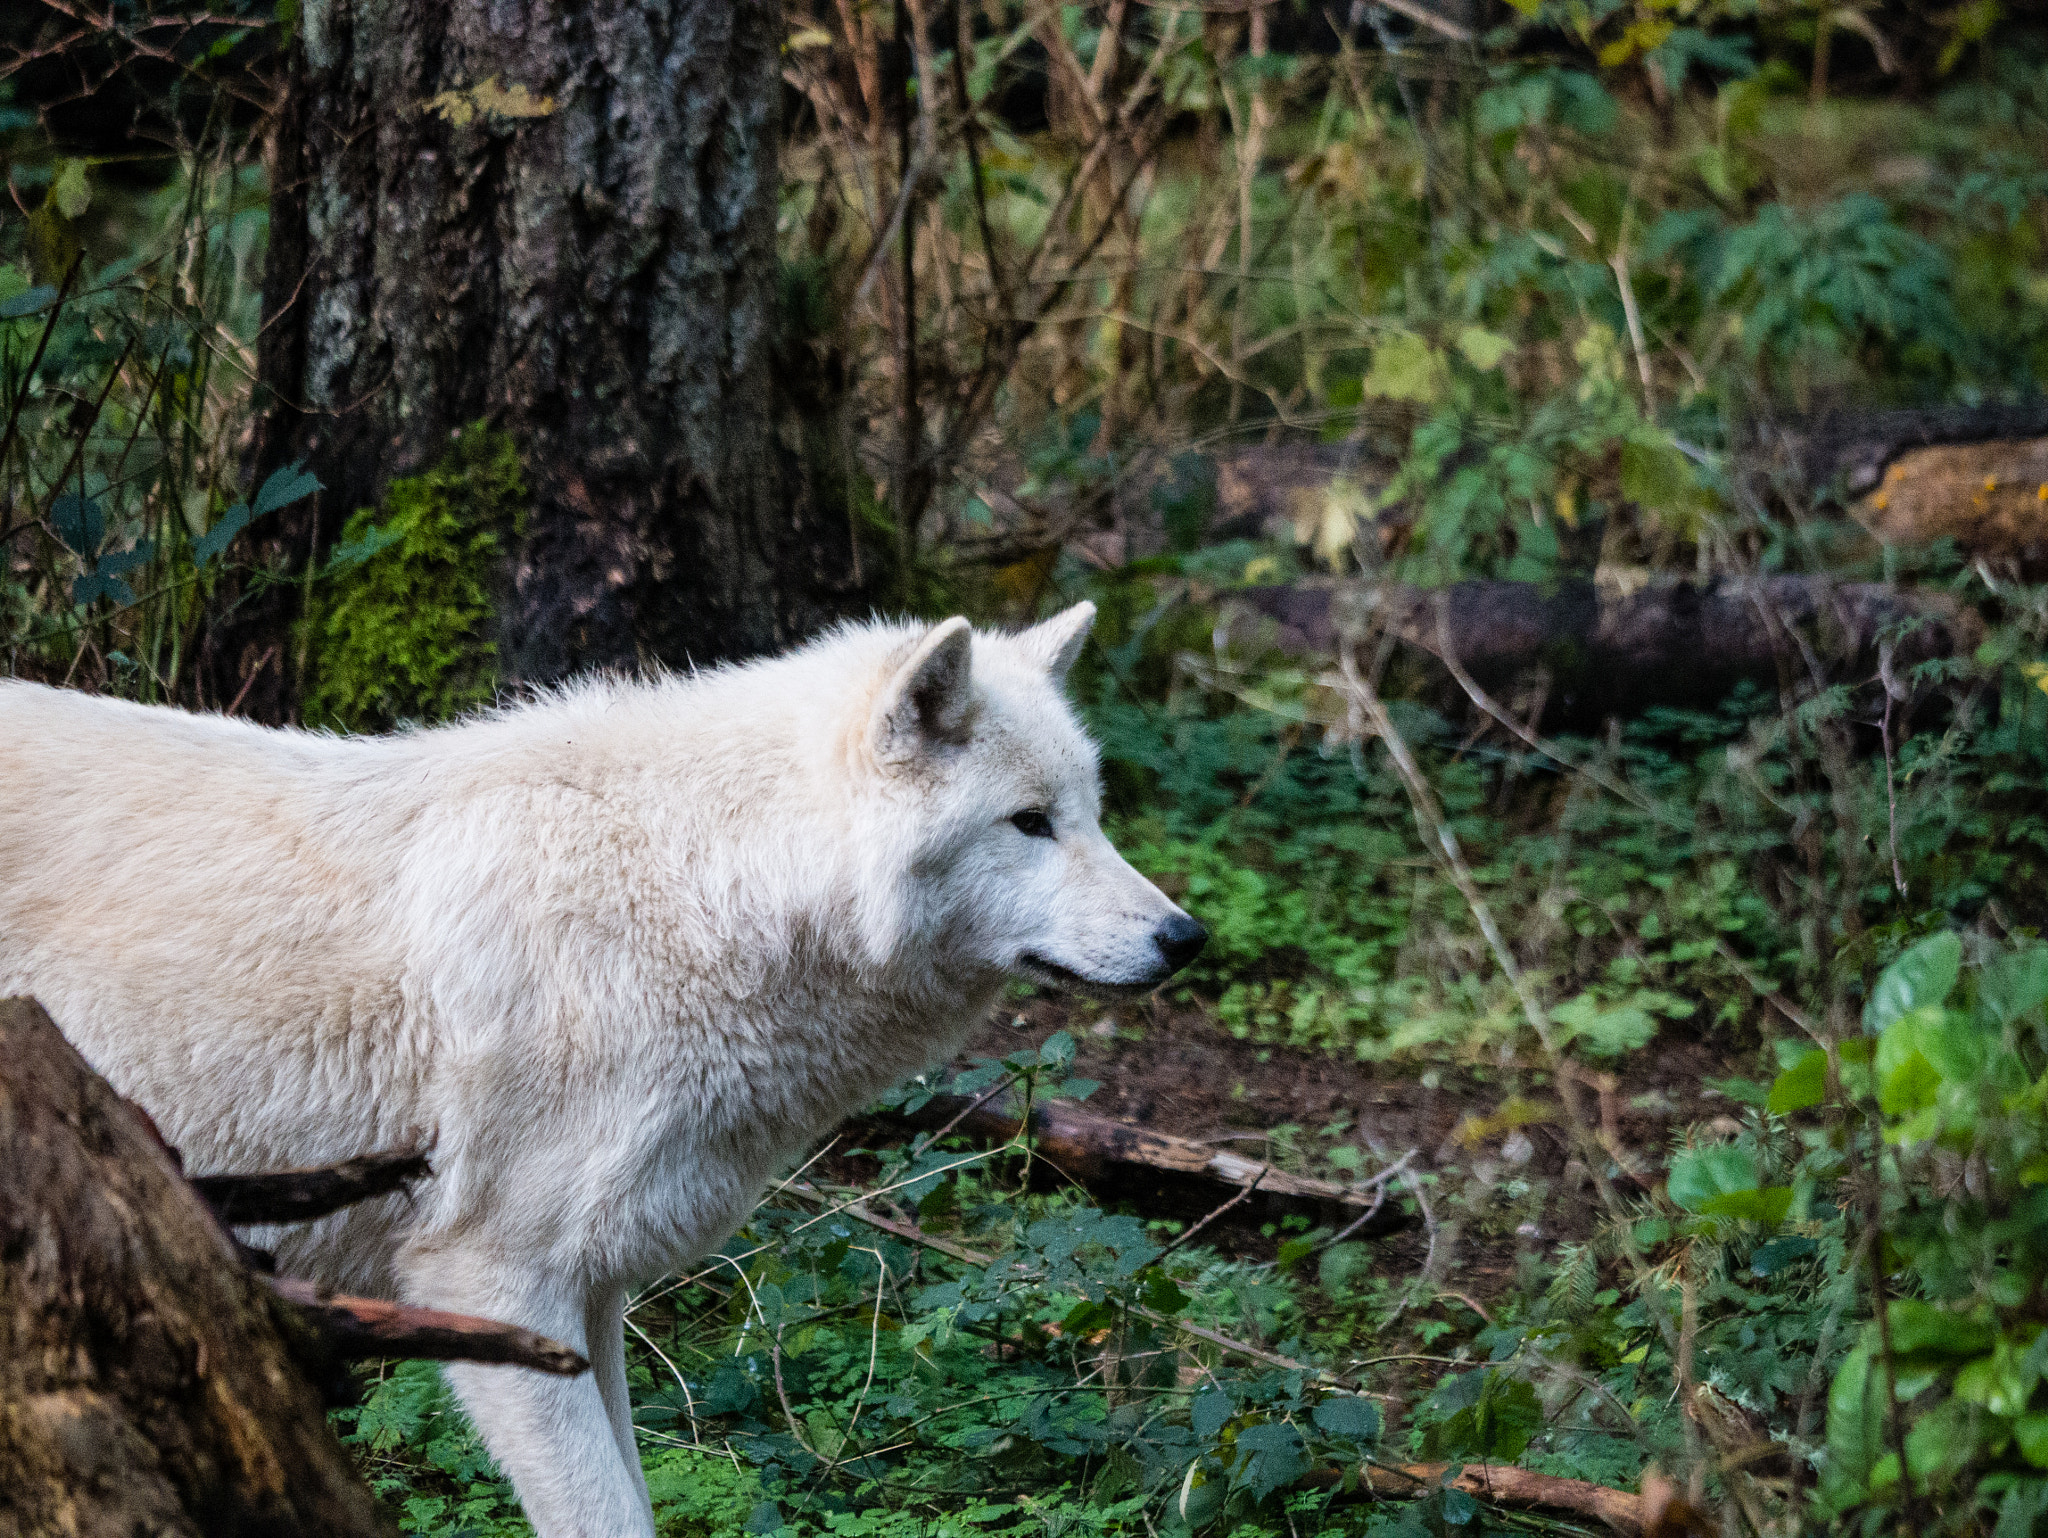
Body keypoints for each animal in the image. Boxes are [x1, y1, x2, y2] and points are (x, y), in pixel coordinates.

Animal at [0, 602, 1204, 1537]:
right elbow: (605, 1513)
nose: (1184, 937)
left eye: (1091, 815)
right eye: (1028, 823)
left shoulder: (592, 1292)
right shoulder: (487, 1282)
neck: (700, 894)